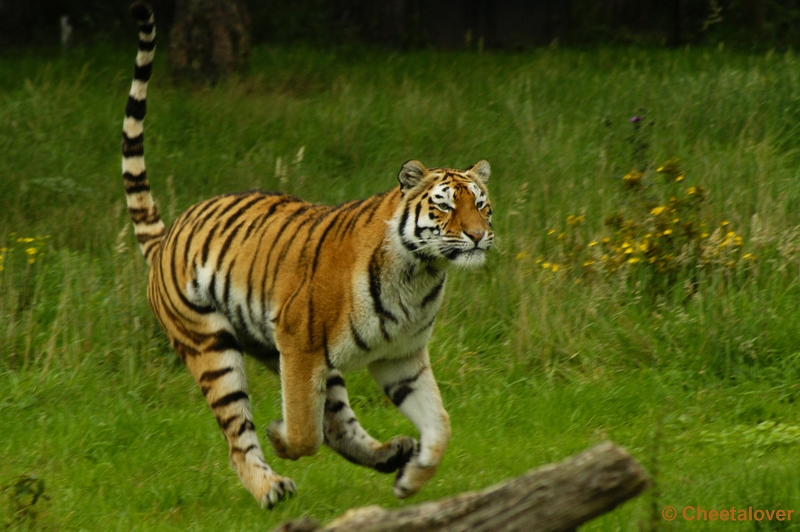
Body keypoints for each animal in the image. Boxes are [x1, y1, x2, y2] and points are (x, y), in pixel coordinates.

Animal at [123, 2, 494, 510]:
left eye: (480, 205)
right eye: (445, 206)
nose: (477, 236)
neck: (420, 275)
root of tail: (166, 240)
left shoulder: (401, 357)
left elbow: (439, 427)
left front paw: (411, 480)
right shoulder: (300, 345)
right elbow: (303, 431)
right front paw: (281, 435)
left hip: (292, 354)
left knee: (337, 423)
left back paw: (392, 453)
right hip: (213, 345)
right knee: (241, 433)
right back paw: (270, 488)